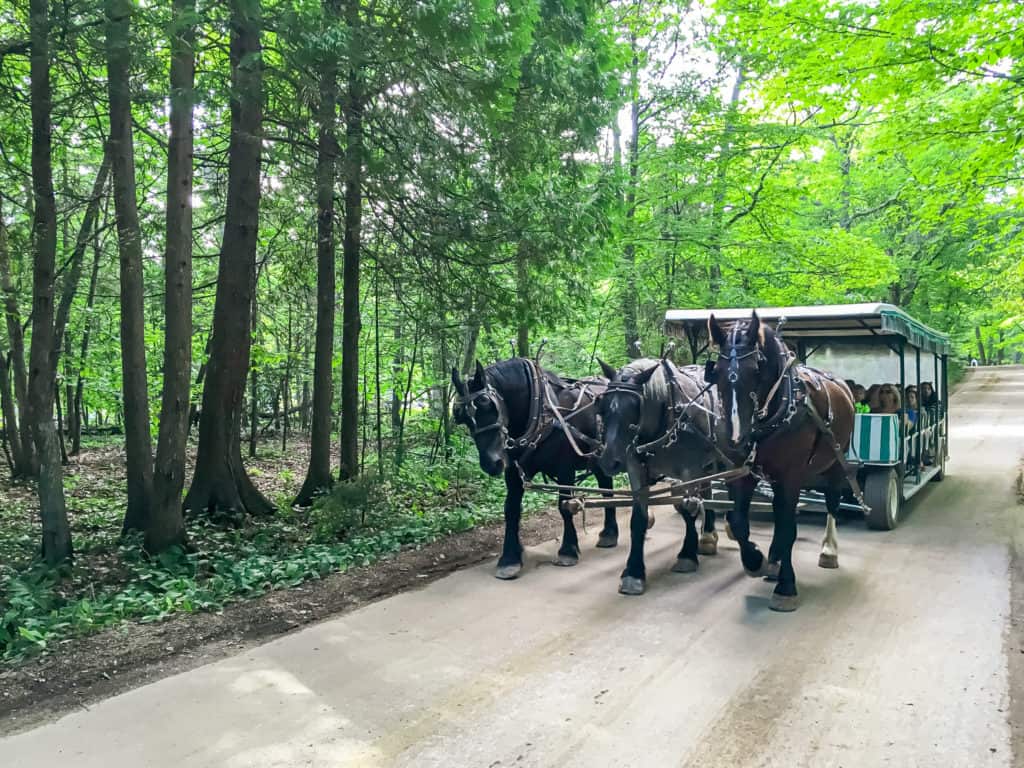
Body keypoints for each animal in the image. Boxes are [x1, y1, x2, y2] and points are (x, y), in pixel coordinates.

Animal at [452, 358, 618, 581]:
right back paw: (609, 533)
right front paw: (510, 558)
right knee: (607, 488)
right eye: (460, 416)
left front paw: (568, 550)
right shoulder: (513, 472)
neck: (540, 412)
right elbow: (511, 510)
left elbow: (564, 506)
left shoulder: (565, 469)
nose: (491, 463)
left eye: (488, 405)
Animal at [593, 358, 729, 598]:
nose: (609, 461)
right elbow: (638, 519)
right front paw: (633, 573)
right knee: (708, 491)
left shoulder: (689, 470)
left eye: (634, 407)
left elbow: (688, 510)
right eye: (604, 405)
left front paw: (687, 556)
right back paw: (708, 536)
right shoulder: (635, 469)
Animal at [704, 311, 856, 614]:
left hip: (835, 462)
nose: (736, 438)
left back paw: (828, 550)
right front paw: (756, 561)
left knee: (832, 502)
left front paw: (786, 587)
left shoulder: (792, 475)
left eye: (756, 370)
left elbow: (788, 526)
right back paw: (773, 559)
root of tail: (843, 385)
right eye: (718, 372)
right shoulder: (744, 472)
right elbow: (738, 521)